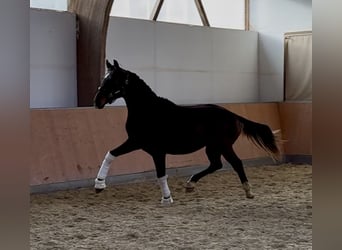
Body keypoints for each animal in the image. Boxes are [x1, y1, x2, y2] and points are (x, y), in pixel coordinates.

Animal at [93, 60, 278, 203]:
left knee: (236, 163)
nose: (97, 101)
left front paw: (167, 199)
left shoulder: (155, 150)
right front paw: (99, 185)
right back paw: (190, 184)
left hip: (223, 146)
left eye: (113, 80)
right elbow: (111, 154)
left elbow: (161, 174)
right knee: (216, 164)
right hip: (212, 147)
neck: (149, 111)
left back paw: (248, 191)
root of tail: (233, 115)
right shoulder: (136, 142)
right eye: (105, 78)